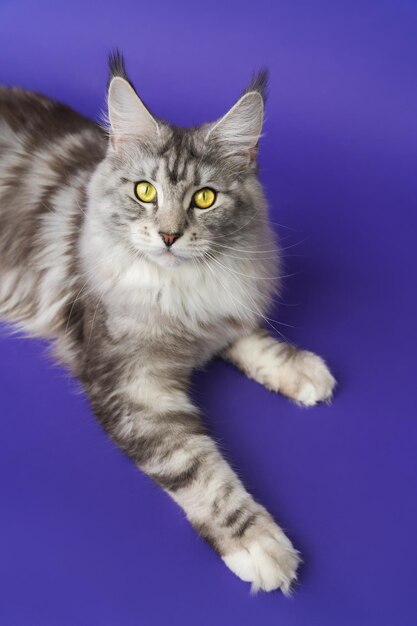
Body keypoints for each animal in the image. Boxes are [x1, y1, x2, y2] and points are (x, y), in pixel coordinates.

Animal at [0, 52, 334, 588]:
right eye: (144, 191)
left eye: (204, 198)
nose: (170, 236)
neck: (179, 290)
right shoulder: (132, 384)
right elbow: (198, 469)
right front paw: (257, 543)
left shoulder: (222, 314)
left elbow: (252, 341)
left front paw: (300, 370)